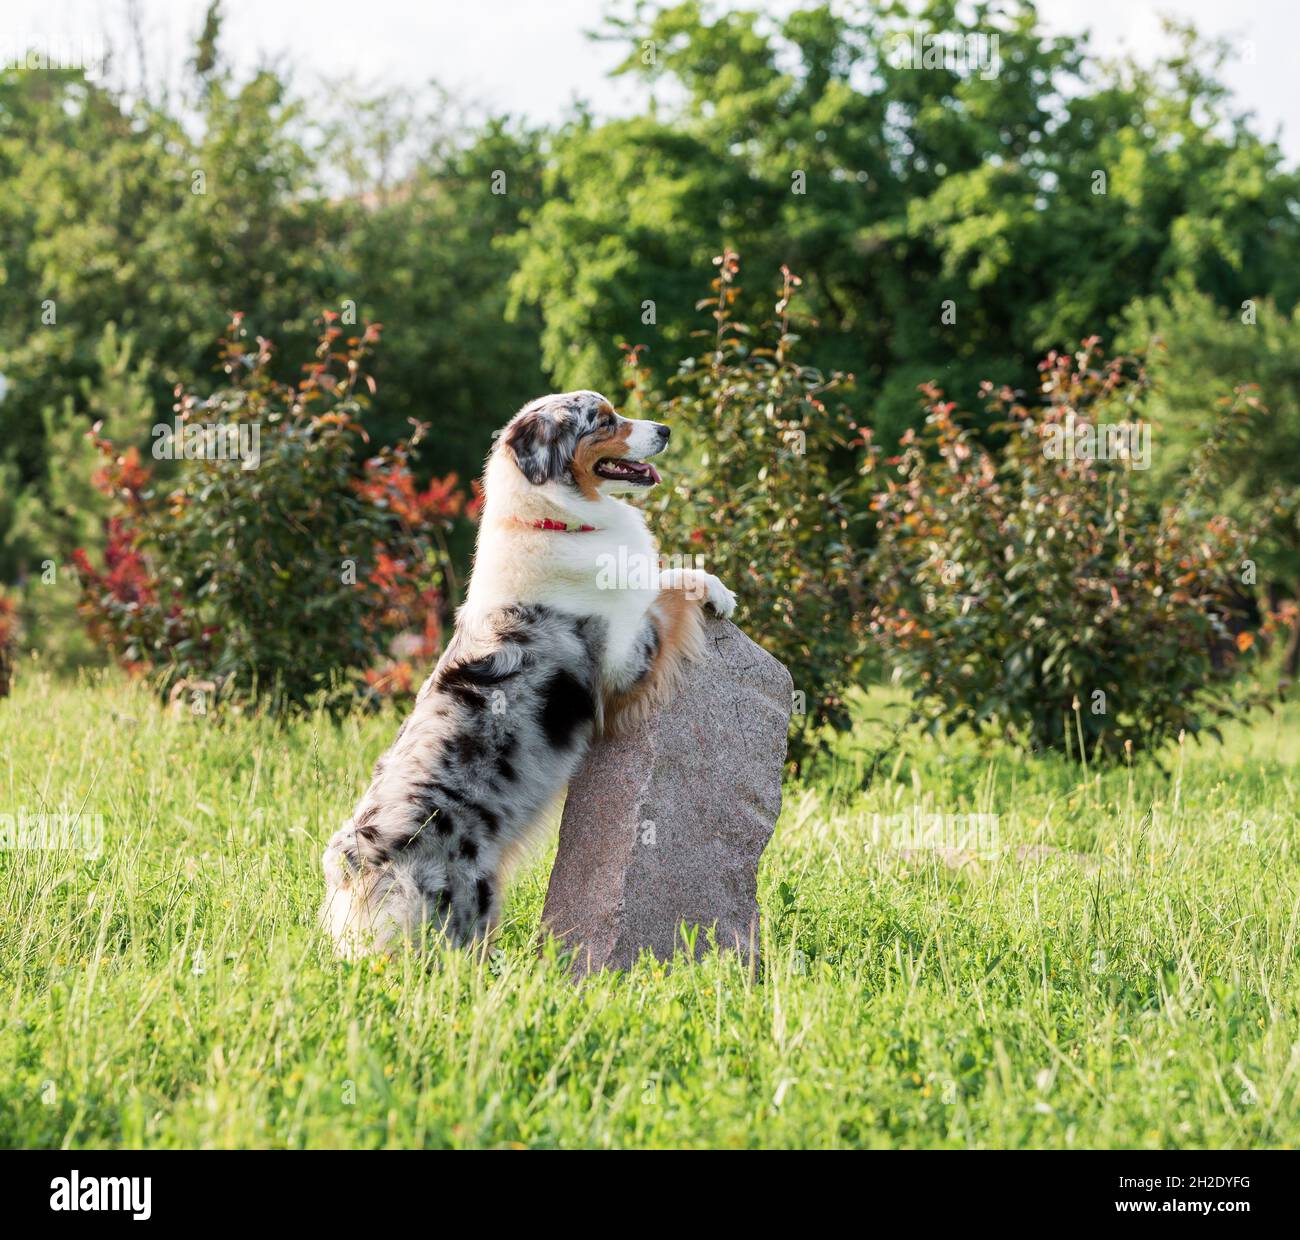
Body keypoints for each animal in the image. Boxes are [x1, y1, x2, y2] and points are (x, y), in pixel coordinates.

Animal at [321, 392, 738, 951]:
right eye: (603, 421)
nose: (667, 430)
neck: (549, 518)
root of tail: (355, 861)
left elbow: (660, 576)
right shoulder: (625, 663)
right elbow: (667, 590)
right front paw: (715, 588)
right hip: (465, 907)